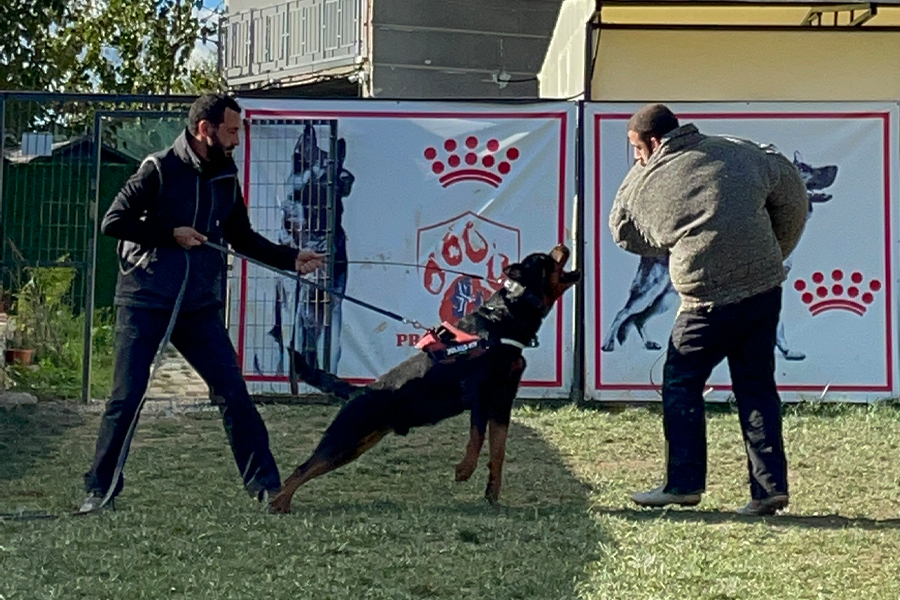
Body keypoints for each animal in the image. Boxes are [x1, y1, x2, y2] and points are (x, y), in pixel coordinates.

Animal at [268, 244, 580, 510]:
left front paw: (492, 494)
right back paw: (278, 503)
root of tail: (359, 392)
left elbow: (498, 450)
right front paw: (464, 470)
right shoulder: (481, 392)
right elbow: (477, 436)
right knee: (302, 468)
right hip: (344, 437)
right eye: (545, 259)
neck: (504, 320)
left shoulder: (503, 401)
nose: (563, 245)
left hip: (355, 444)